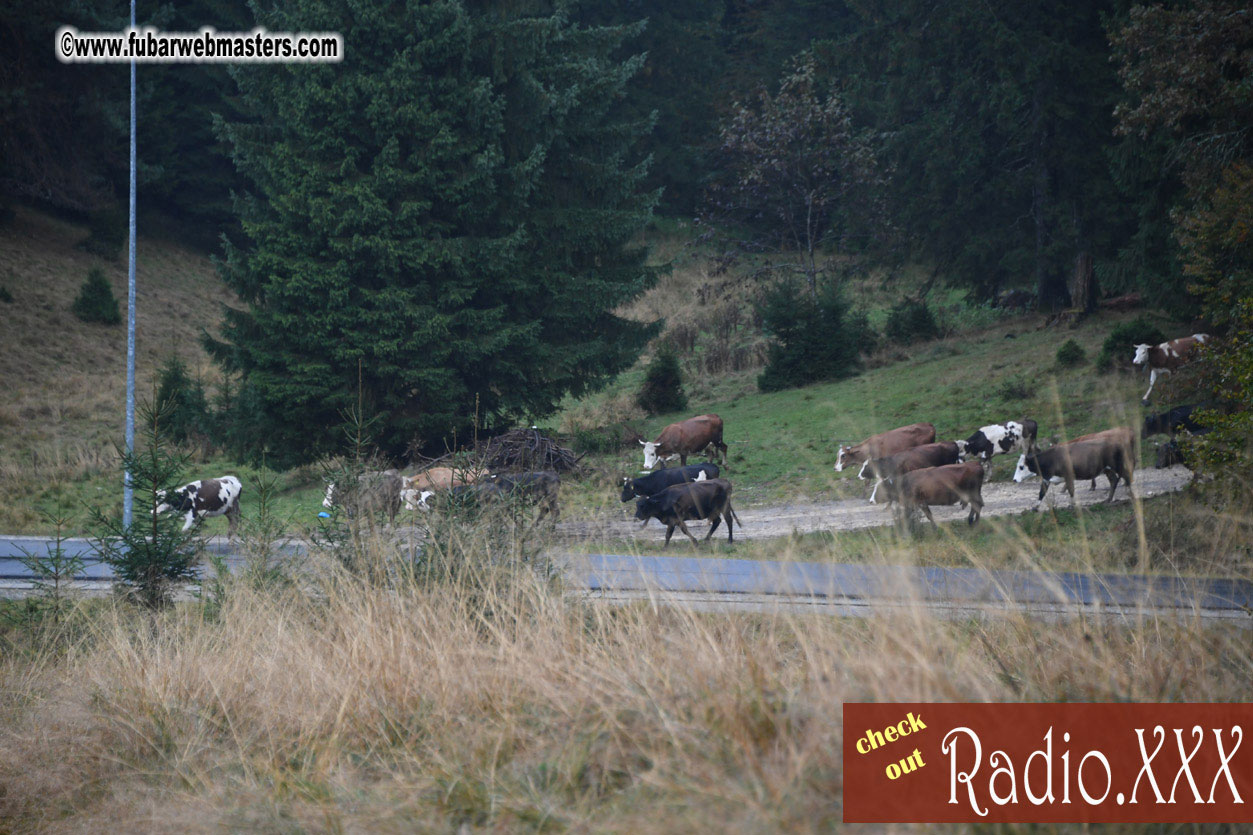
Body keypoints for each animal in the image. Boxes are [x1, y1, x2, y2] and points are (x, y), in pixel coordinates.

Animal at [1007, 438, 1137, 504]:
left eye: (1021, 467)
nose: (1014, 479)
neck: (1051, 458)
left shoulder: (1068, 476)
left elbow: (1071, 490)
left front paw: (1072, 505)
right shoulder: (1046, 478)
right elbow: (1041, 493)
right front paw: (1035, 507)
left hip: (1117, 465)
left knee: (1127, 476)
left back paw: (1130, 493)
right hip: (1107, 469)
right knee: (1114, 480)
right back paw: (1109, 499)